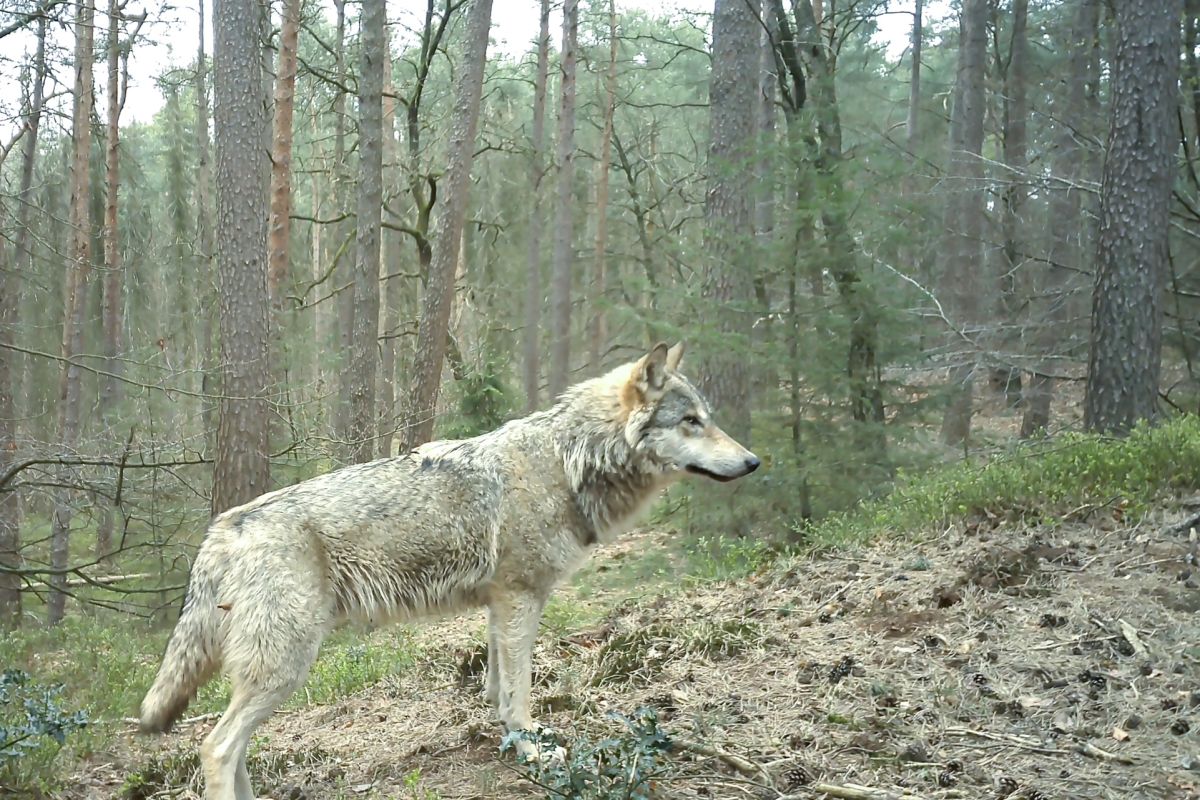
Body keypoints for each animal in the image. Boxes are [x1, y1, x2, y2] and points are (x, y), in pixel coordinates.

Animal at [139, 341, 759, 800]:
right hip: (285, 665)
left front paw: (509, 738)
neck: (568, 461)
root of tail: (224, 527)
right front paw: (533, 750)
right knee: (216, 746)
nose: (753, 461)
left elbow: (499, 688)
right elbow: (520, 693)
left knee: (233, 746)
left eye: (708, 419)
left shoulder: (501, 604)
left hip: (270, 671)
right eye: (692, 421)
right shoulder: (519, 597)